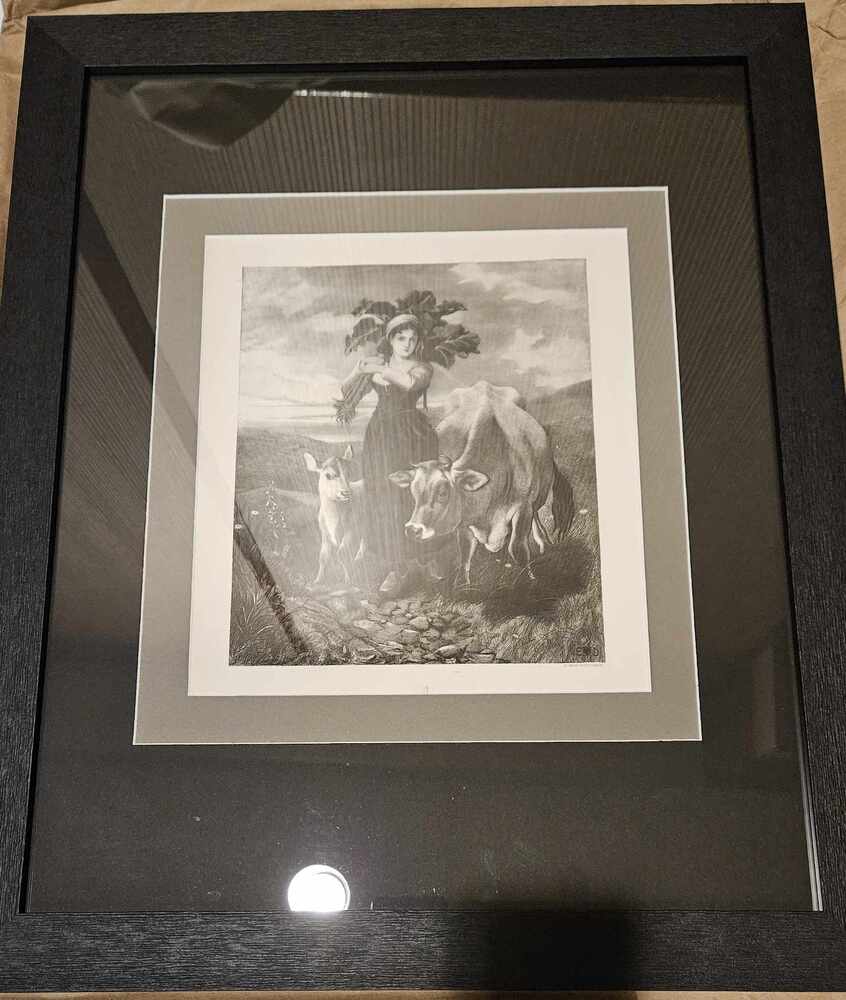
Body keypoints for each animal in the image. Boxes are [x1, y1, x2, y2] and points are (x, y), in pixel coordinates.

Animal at [303, 444, 365, 586]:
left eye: (349, 472)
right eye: (328, 475)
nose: (345, 492)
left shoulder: (352, 529)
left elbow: (342, 553)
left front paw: (348, 580)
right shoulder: (325, 534)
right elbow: (323, 556)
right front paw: (317, 580)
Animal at [388, 382, 574, 584]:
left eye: (443, 493)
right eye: (413, 492)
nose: (412, 529)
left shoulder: (524, 507)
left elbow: (518, 549)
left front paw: (531, 580)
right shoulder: (464, 519)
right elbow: (465, 552)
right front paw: (462, 584)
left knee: (536, 517)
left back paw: (541, 542)